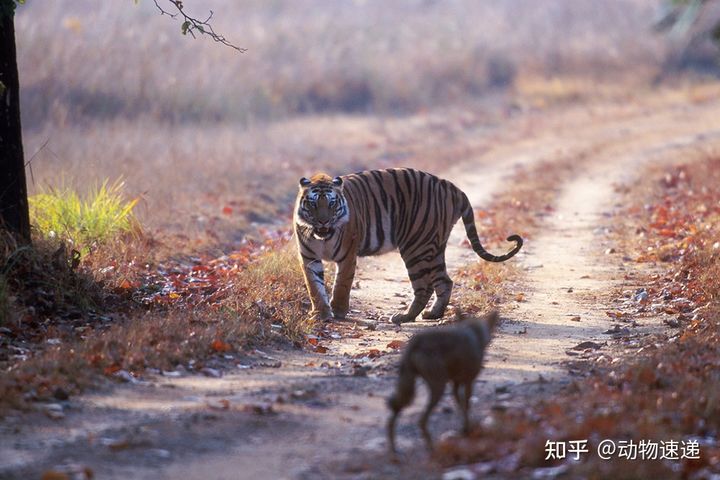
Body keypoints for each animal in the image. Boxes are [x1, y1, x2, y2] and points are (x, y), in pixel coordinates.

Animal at [292, 167, 524, 324]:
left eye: (331, 204)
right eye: (313, 204)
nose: (323, 221)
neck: (323, 237)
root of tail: (451, 186)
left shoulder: (348, 255)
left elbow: (342, 284)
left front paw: (338, 312)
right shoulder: (309, 257)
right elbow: (314, 286)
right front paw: (320, 314)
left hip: (416, 247)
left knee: (424, 286)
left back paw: (404, 317)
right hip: (434, 246)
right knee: (444, 281)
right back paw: (433, 314)